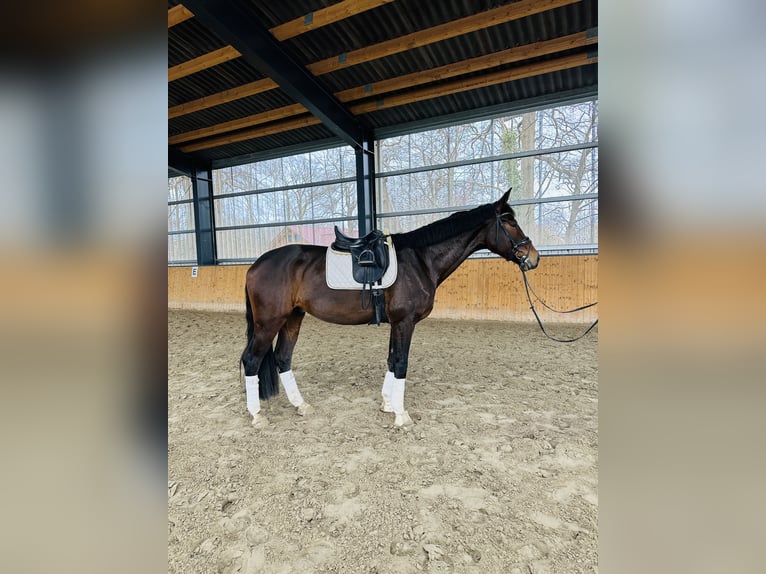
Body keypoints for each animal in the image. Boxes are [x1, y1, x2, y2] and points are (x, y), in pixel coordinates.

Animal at [240, 191, 540, 430]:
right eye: (510, 222)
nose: (533, 258)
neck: (420, 260)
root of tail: (256, 266)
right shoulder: (405, 321)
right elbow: (401, 363)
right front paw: (401, 415)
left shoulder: (397, 323)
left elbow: (391, 360)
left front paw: (387, 404)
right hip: (269, 322)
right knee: (252, 360)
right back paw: (257, 416)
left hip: (293, 318)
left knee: (283, 358)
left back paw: (300, 405)